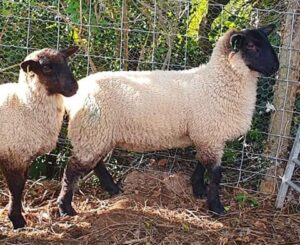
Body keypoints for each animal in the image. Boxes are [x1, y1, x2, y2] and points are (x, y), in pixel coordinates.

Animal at [0, 46, 78, 230]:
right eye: (46, 67)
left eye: (66, 61)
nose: (74, 87)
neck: (24, 105)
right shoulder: (13, 156)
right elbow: (16, 188)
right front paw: (17, 220)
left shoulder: (24, 157)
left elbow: (22, 185)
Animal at [56, 24, 278, 216]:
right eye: (251, 46)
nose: (276, 67)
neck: (216, 82)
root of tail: (76, 94)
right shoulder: (209, 134)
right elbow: (215, 174)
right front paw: (216, 207)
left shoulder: (205, 135)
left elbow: (201, 164)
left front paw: (198, 189)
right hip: (92, 130)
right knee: (73, 168)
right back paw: (65, 207)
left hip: (97, 133)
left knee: (96, 163)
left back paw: (113, 189)